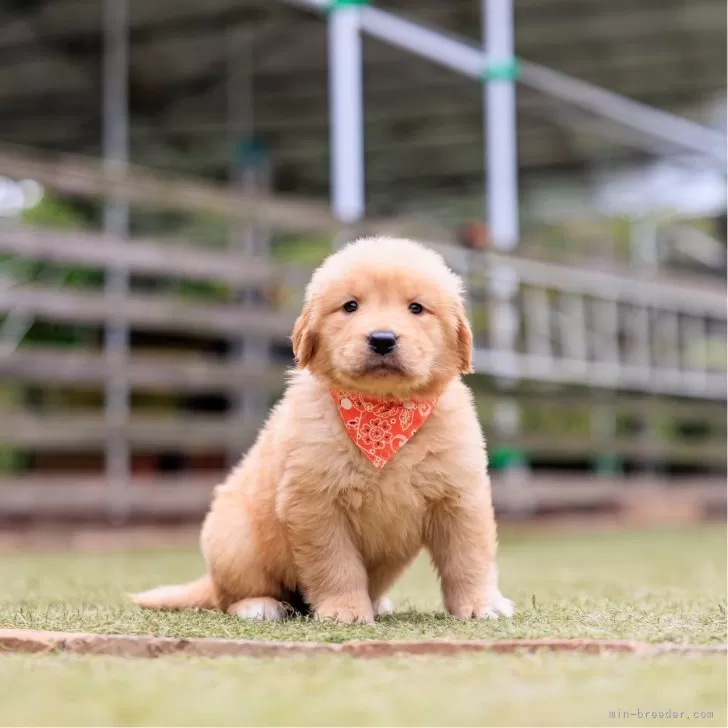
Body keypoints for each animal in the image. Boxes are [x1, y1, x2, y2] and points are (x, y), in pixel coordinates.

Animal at [134, 236, 516, 624]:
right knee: (229, 596)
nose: (382, 339)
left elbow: (468, 558)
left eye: (416, 308)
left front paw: (481, 603)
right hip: (234, 540)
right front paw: (345, 611)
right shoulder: (315, 502)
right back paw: (259, 605)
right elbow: (336, 565)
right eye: (350, 306)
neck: (382, 412)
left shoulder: (459, 496)